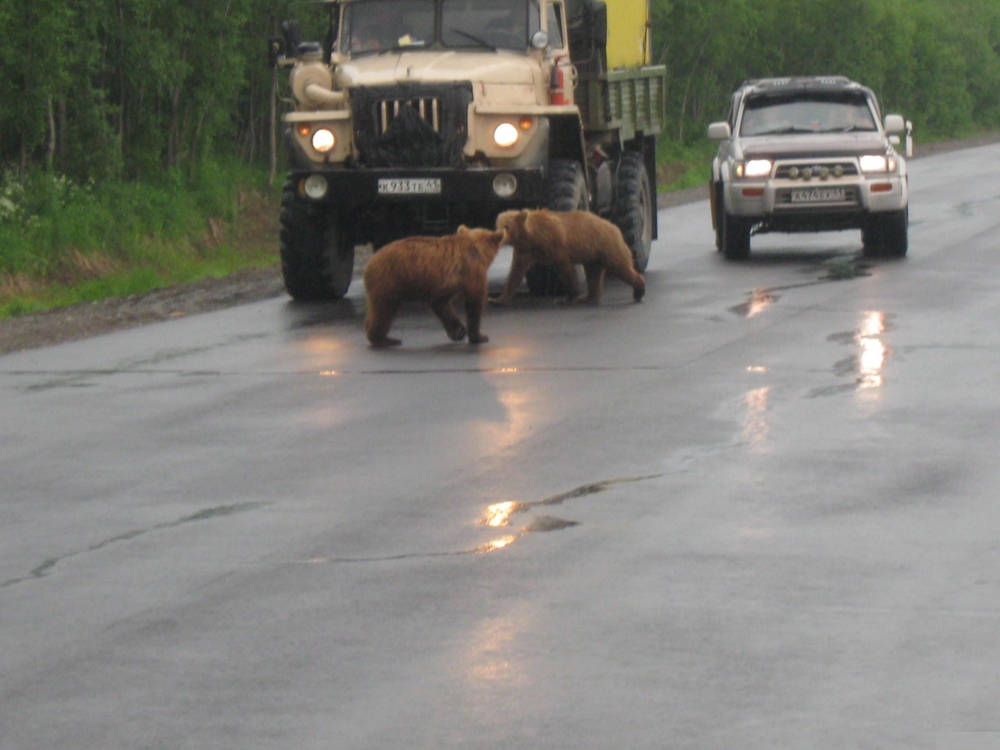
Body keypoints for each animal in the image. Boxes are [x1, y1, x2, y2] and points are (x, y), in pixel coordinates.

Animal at [364, 226, 508, 350]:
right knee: (383, 311)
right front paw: (479, 336)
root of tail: (370, 263)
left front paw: (458, 331)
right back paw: (385, 339)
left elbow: (441, 303)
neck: (478, 249)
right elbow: (475, 301)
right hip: (389, 282)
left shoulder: (442, 284)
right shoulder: (471, 269)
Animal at [494, 209, 648, 306]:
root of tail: (615, 227)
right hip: (593, 257)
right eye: (496, 225)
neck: (532, 235)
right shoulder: (524, 250)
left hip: (607, 246)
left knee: (621, 267)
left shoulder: (556, 243)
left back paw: (638, 291)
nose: (499, 237)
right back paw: (589, 298)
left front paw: (568, 297)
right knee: (594, 275)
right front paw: (498, 299)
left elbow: (566, 268)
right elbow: (515, 272)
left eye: (506, 226)